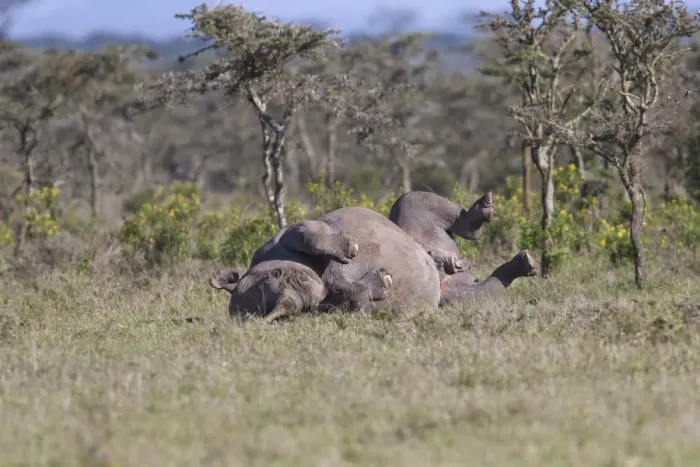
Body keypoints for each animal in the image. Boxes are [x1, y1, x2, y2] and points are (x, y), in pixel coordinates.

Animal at [209, 205, 480, 324]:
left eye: (277, 273)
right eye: (301, 310)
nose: (302, 295)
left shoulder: (281, 237)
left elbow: (305, 234)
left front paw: (350, 248)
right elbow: (354, 296)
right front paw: (381, 281)